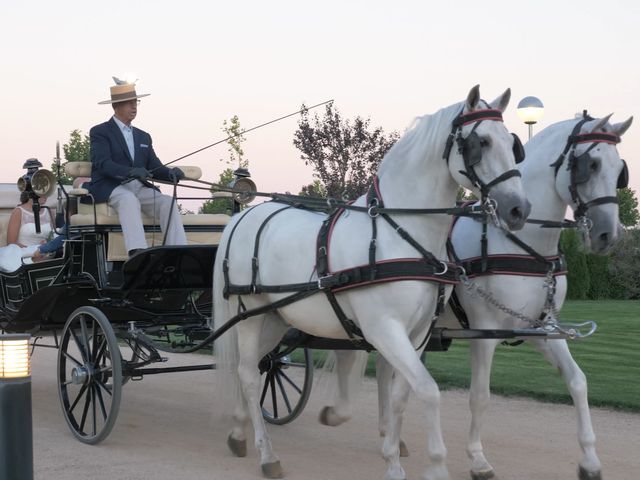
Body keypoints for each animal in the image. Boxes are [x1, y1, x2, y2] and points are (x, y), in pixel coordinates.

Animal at [214, 86, 528, 480]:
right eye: (481, 142)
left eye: (512, 143)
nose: (518, 209)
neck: (403, 234)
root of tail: (243, 216)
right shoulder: (384, 329)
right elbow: (428, 390)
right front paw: (436, 464)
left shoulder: (418, 333)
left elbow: (401, 394)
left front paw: (392, 457)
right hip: (252, 315)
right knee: (248, 374)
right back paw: (267, 454)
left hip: (275, 318)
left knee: (254, 366)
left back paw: (239, 432)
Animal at [324, 111, 636, 480]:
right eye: (591, 164)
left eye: (619, 171)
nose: (607, 235)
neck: (519, 243)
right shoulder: (484, 331)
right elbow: (480, 396)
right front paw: (477, 459)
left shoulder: (541, 328)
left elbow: (578, 381)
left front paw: (589, 459)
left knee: (389, 371)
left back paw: (392, 438)